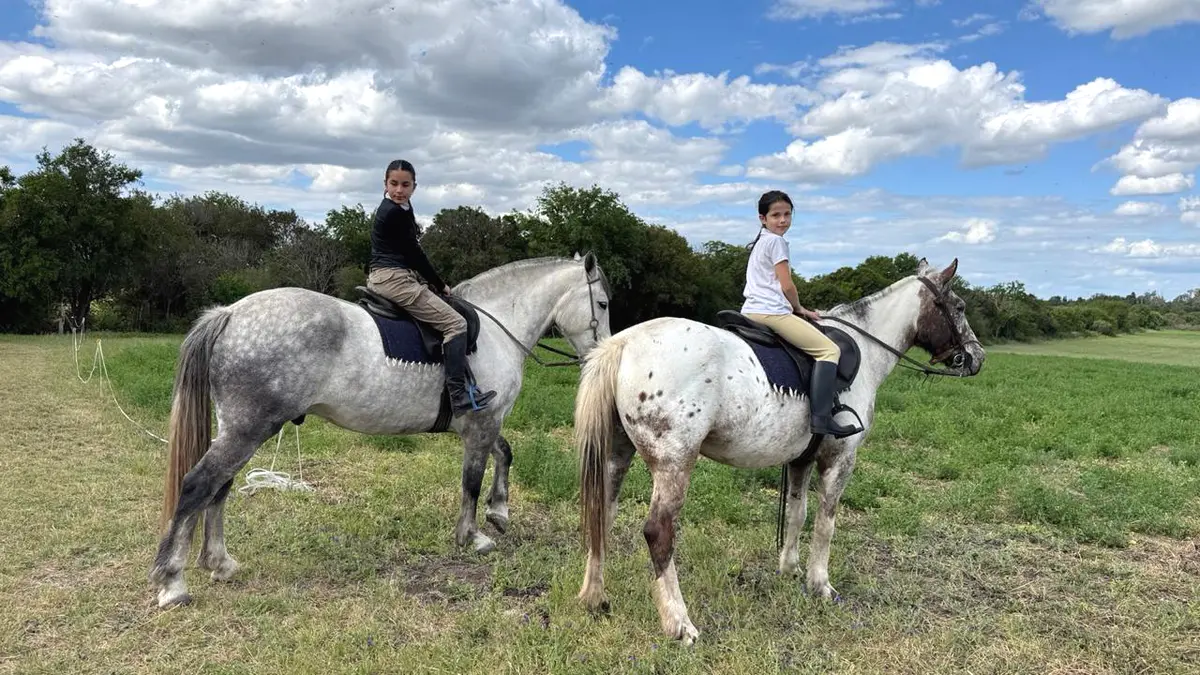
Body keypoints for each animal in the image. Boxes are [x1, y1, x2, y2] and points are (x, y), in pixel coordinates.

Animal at [148, 253, 611, 609]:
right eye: (604, 303)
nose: (599, 355)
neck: (499, 328)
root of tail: (230, 314)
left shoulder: (482, 422)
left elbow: (505, 454)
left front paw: (499, 512)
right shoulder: (482, 422)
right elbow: (472, 482)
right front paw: (472, 535)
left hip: (239, 431)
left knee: (218, 488)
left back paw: (219, 563)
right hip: (248, 430)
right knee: (197, 485)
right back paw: (172, 582)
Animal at [572, 258, 985, 644]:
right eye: (960, 306)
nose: (977, 357)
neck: (866, 350)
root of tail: (624, 343)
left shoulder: (801, 460)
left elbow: (797, 515)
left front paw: (789, 569)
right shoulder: (840, 460)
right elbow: (825, 523)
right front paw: (820, 585)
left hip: (618, 454)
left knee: (601, 513)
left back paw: (594, 598)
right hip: (674, 463)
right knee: (659, 532)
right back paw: (679, 622)